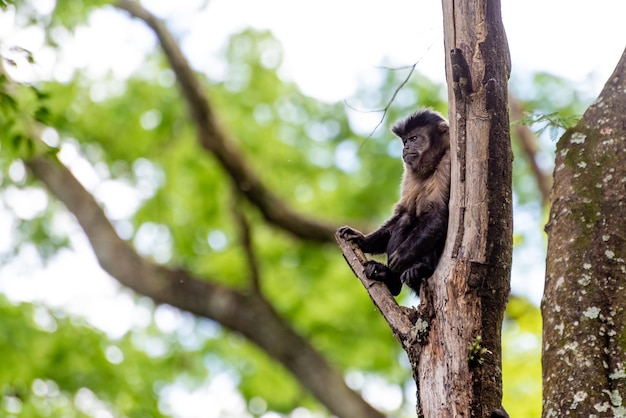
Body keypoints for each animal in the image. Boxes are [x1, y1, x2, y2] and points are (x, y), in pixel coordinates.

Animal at [336, 109, 448, 296]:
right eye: (405, 141)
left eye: (414, 138)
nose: (406, 148)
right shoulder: (409, 174)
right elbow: (402, 213)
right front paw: (361, 240)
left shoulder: (448, 162)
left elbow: (439, 214)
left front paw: (403, 255)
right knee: (406, 219)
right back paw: (390, 280)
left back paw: (421, 270)